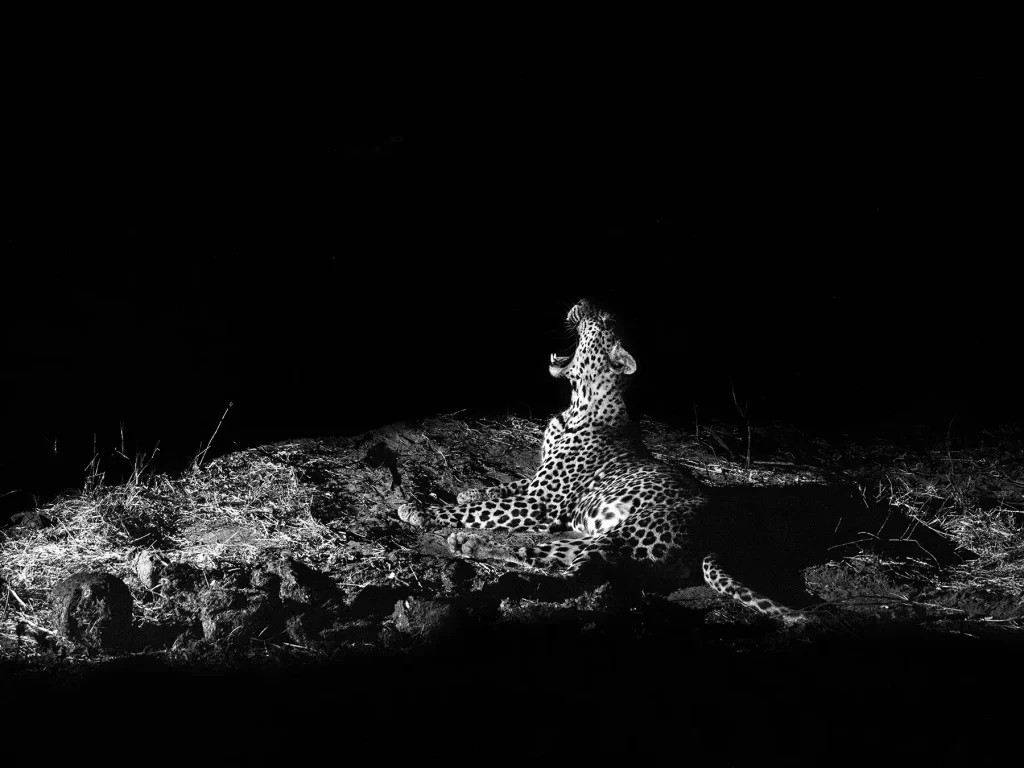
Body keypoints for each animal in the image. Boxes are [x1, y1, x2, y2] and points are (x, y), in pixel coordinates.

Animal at [397, 296, 806, 626]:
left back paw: (489, 559)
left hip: (628, 534)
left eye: (606, 322)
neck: (577, 402)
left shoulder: (540, 502)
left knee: (577, 576)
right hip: (599, 535)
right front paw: (470, 492)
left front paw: (420, 510)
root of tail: (714, 538)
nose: (584, 300)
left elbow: (480, 510)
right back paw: (475, 546)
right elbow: (502, 489)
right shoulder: (538, 484)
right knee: (551, 554)